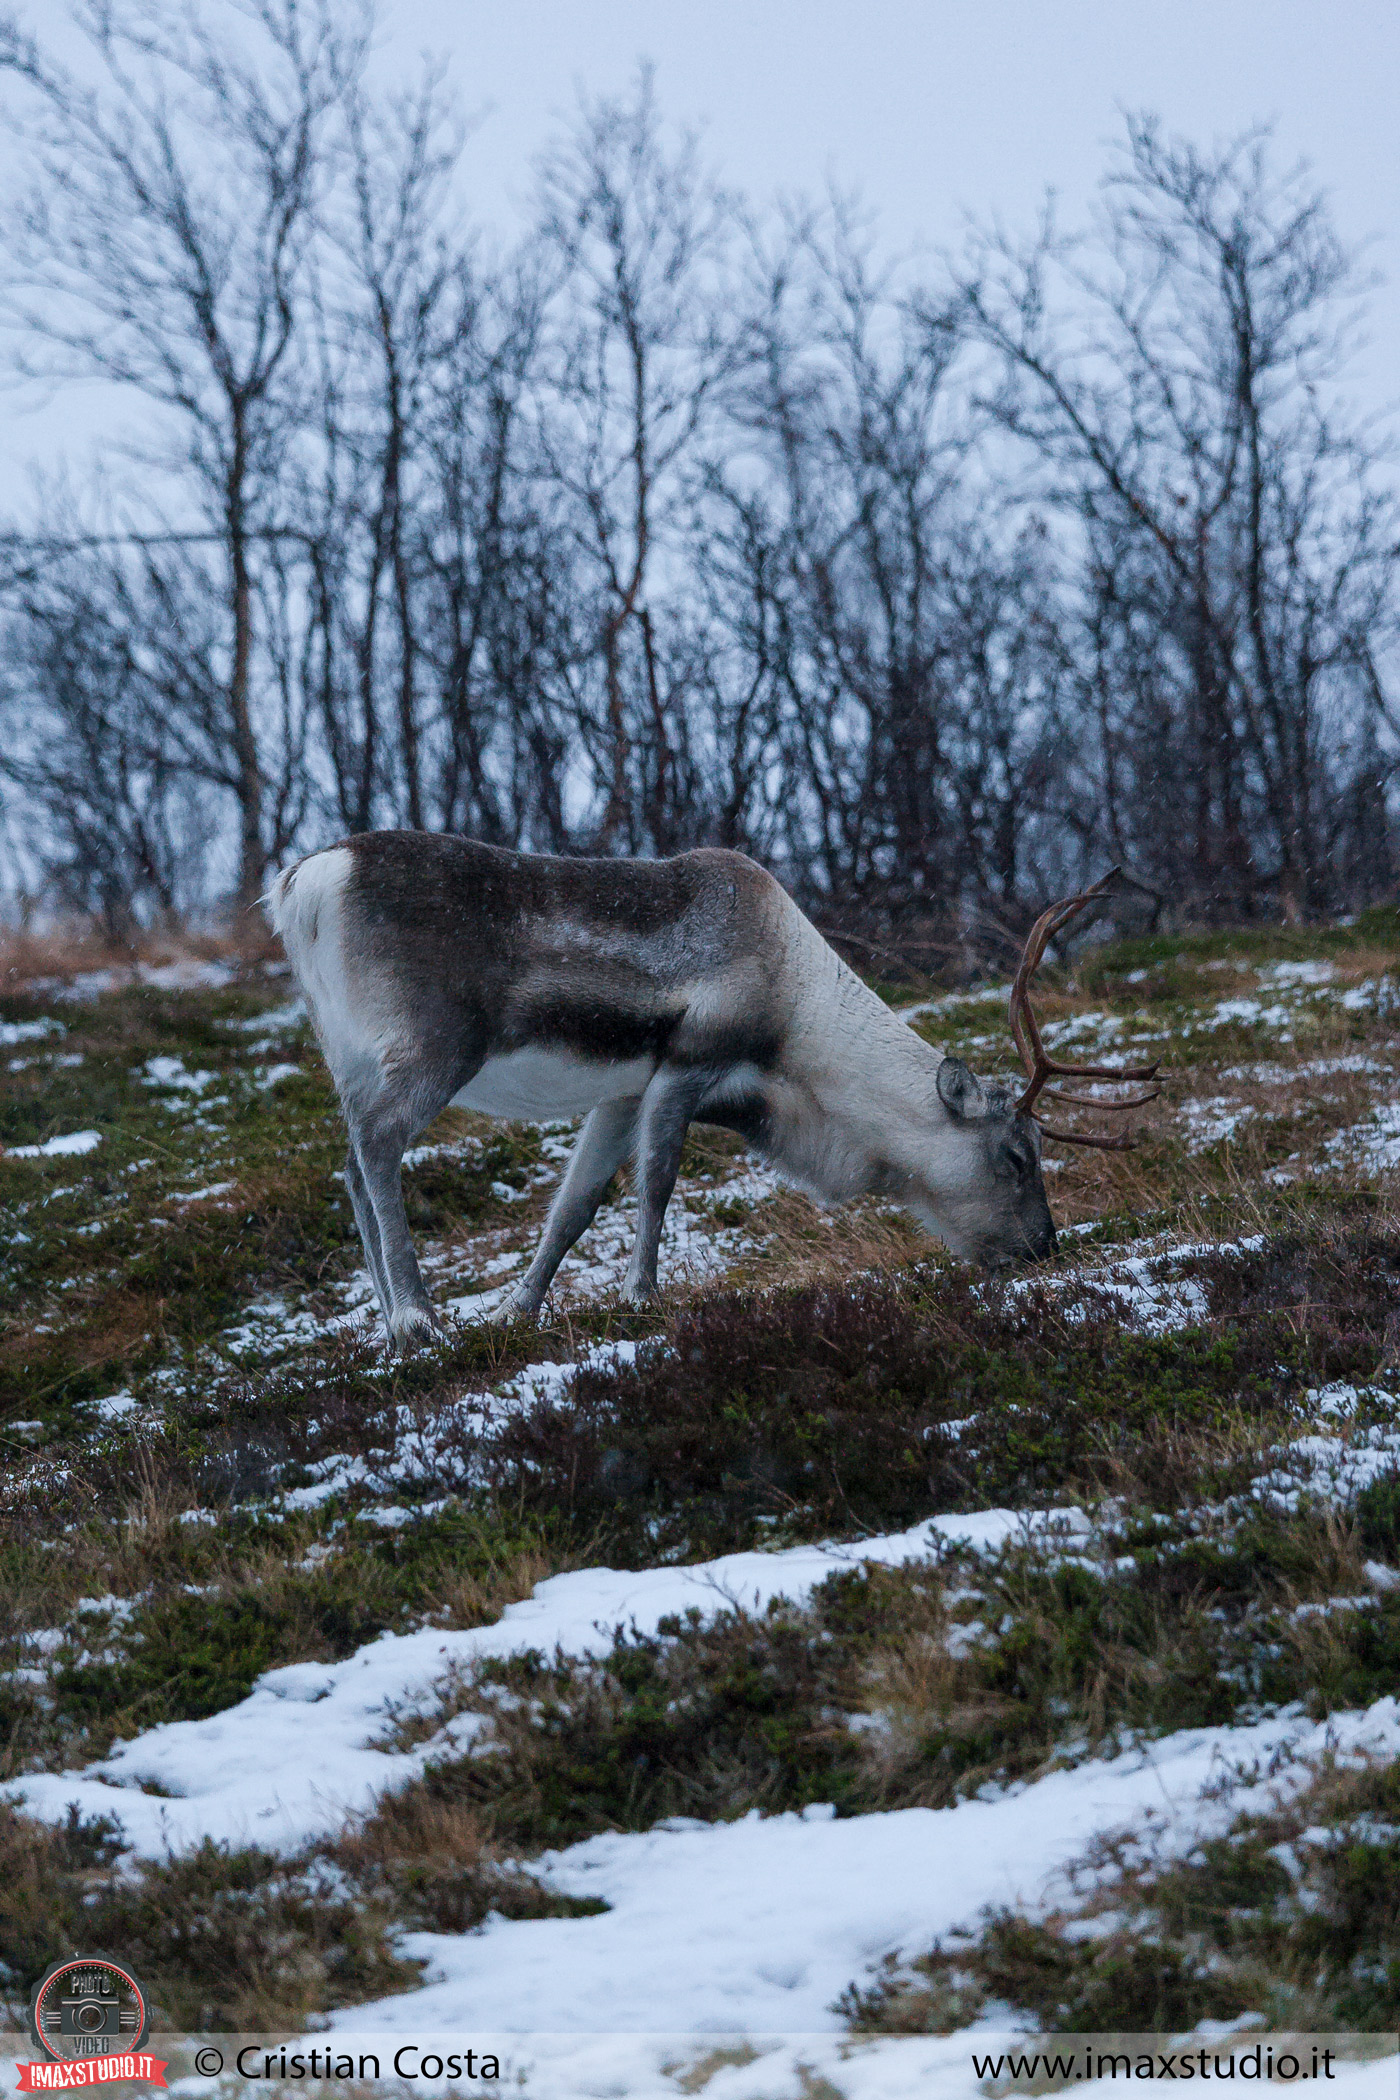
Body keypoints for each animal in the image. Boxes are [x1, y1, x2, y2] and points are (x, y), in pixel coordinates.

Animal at [267, 835, 1159, 1345]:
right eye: (1015, 1154)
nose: (1044, 1246)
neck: (797, 1023)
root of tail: (303, 883)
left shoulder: (622, 1091)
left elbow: (574, 1206)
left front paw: (517, 1312)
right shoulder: (686, 1064)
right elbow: (656, 1185)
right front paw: (640, 1296)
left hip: (347, 1053)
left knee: (350, 1164)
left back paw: (391, 1329)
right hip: (430, 1046)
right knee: (377, 1147)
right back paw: (416, 1317)